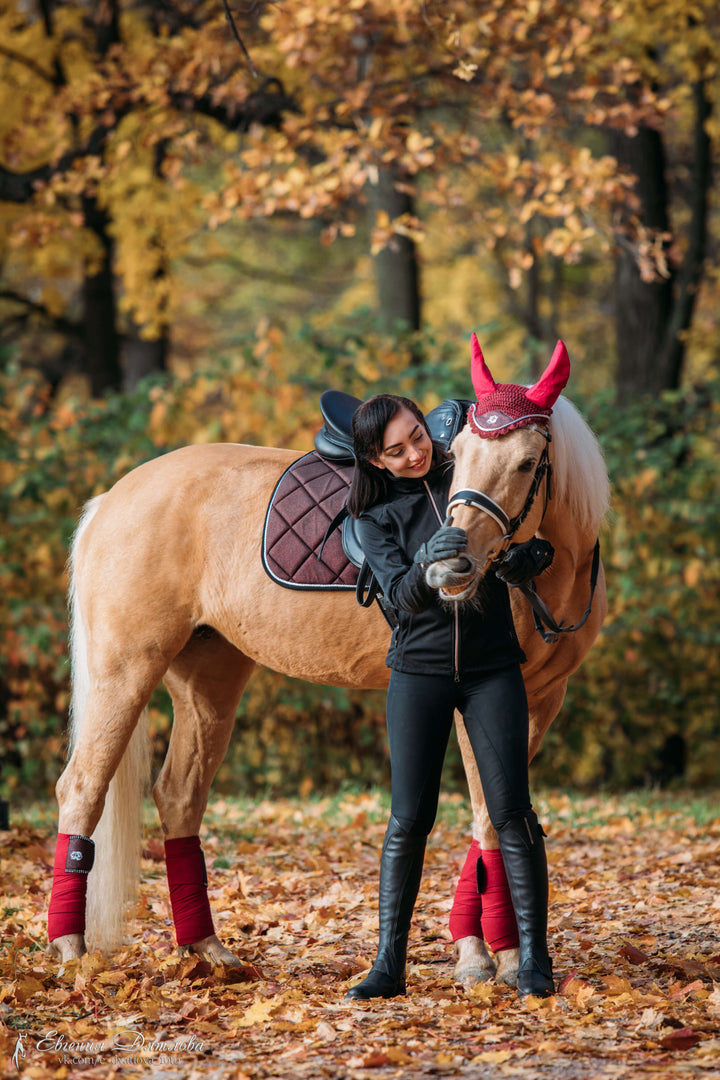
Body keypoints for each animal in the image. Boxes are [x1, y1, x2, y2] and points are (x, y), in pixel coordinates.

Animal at [46, 341, 608, 989]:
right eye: (460, 455)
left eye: (526, 462)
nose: (454, 567)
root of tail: (110, 500)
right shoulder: (478, 695)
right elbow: (487, 815)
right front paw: (488, 955)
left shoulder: (538, 699)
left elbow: (497, 816)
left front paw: (498, 953)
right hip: (124, 670)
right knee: (82, 787)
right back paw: (70, 950)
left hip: (208, 682)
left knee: (179, 796)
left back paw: (205, 950)